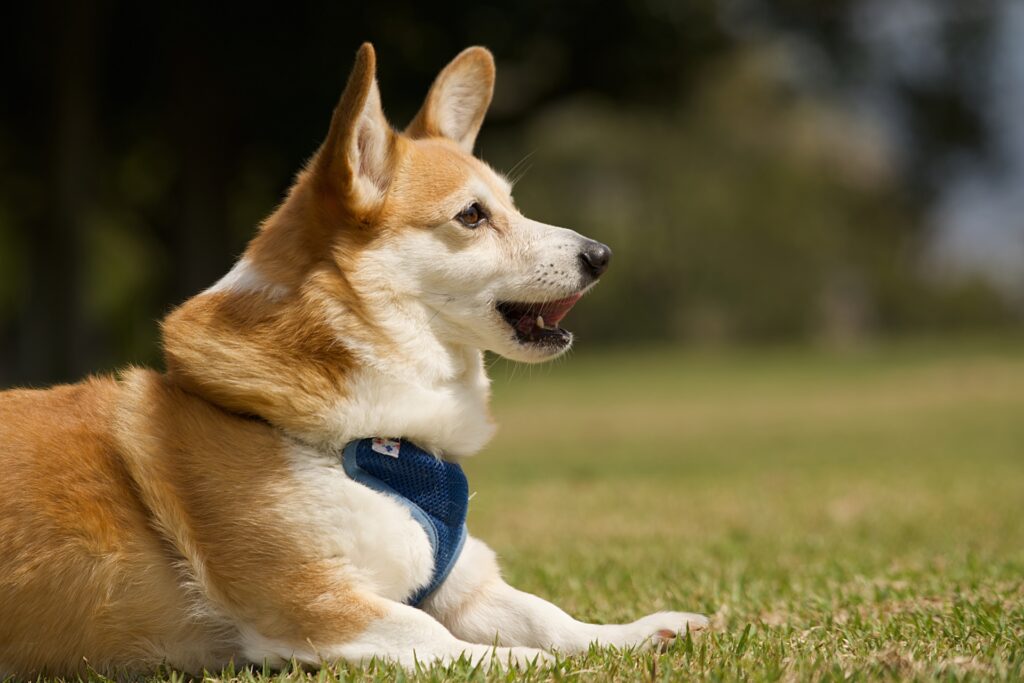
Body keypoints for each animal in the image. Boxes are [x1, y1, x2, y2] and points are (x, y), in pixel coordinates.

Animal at [0, 44, 704, 679]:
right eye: (473, 215)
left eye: (512, 204)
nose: (602, 255)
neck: (382, 433)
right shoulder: (314, 601)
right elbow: (438, 636)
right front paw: (525, 663)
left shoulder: (462, 584)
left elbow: (545, 614)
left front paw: (637, 635)